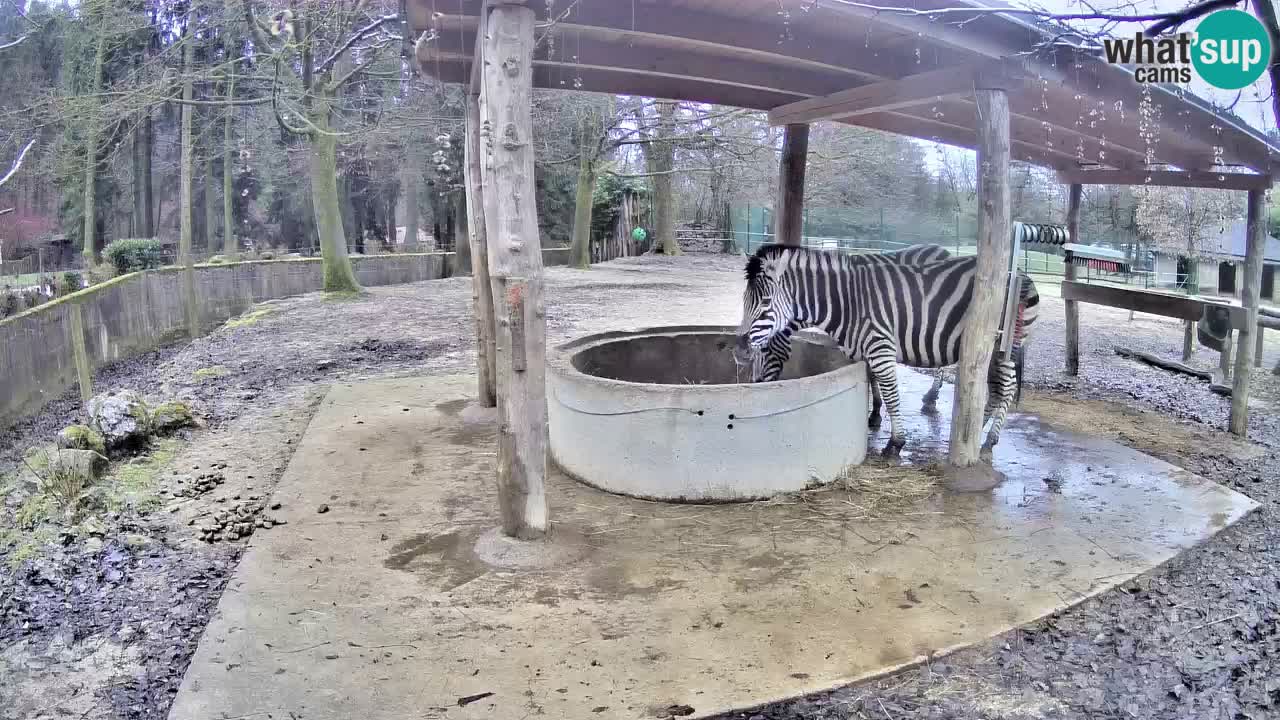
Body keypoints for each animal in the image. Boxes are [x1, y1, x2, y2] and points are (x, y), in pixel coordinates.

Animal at [732, 242, 1039, 453]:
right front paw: (875, 416)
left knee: (1006, 389)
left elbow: (890, 393)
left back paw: (988, 439)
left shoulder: (879, 345)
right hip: (993, 351)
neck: (846, 301)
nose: (739, 353)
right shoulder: (863, 348)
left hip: (1004, 347)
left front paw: (895, 442)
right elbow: (871, 380)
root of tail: (1020, 275)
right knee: (995, 391)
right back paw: (975, 432)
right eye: (744, 301)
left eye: (765, 302)